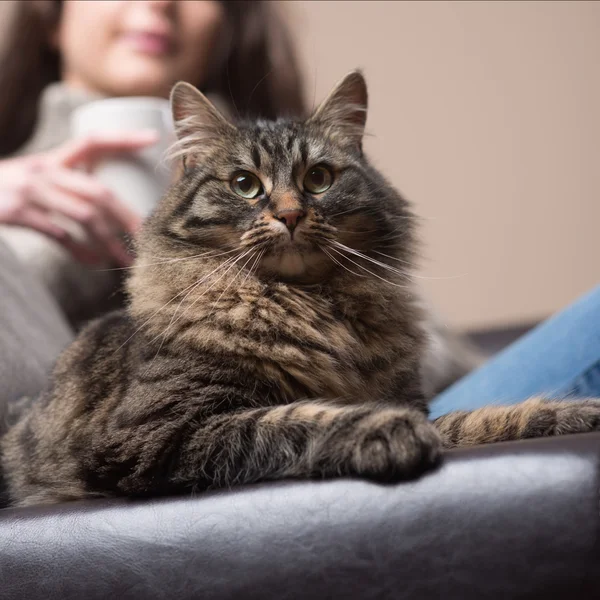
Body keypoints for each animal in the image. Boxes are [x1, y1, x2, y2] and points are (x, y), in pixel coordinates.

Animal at [2, 72, 596, 508]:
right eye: (245, 185)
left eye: (319, 179)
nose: (288, 214)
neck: (308, 305)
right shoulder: (158, 434)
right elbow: (293, 419)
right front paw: (385, 432)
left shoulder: (418, 402)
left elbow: (478, 419)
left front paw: (573, 414)